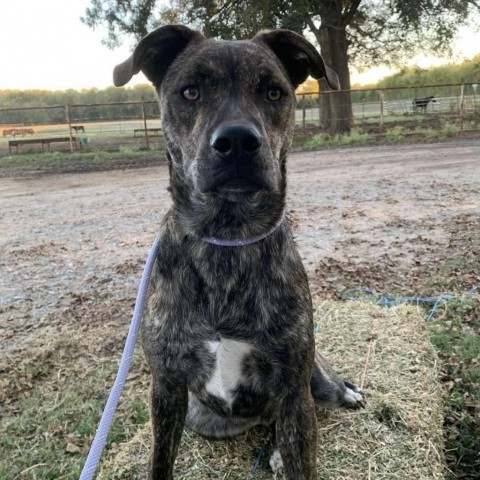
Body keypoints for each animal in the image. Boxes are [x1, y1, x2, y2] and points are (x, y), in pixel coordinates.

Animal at [113, 25, 364, 480]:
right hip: (203, 417)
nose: (237, 141)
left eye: (274, 92)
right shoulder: (167, 385)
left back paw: (343, 398)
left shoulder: (293, 387)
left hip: (313, 384)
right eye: (190, 91)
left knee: (318, 402)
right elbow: (160, 459)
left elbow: (304, 456)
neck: (227, 238)